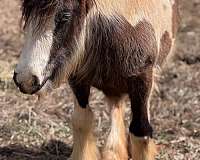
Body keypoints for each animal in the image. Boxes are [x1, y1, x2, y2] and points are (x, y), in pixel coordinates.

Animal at [14, 0, 180, 159]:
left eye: (66, 16)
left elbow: (141, 131)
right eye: (26, 12)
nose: (25, 80)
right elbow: (81, 120)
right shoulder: (78, 79)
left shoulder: (142, 79)